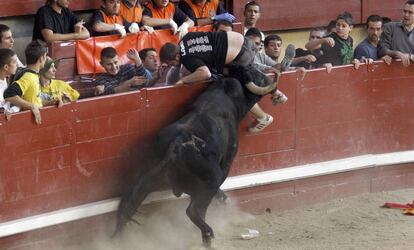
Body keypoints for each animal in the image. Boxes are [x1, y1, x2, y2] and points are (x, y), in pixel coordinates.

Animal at [115, 65, 280, 247]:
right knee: (194, 210)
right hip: (209, 180)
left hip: (149, 178)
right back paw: (207, 235)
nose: (270, 79)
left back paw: (117, 238)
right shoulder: (227, 163)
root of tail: (176, 145)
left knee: (130, 202)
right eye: (256, 74)